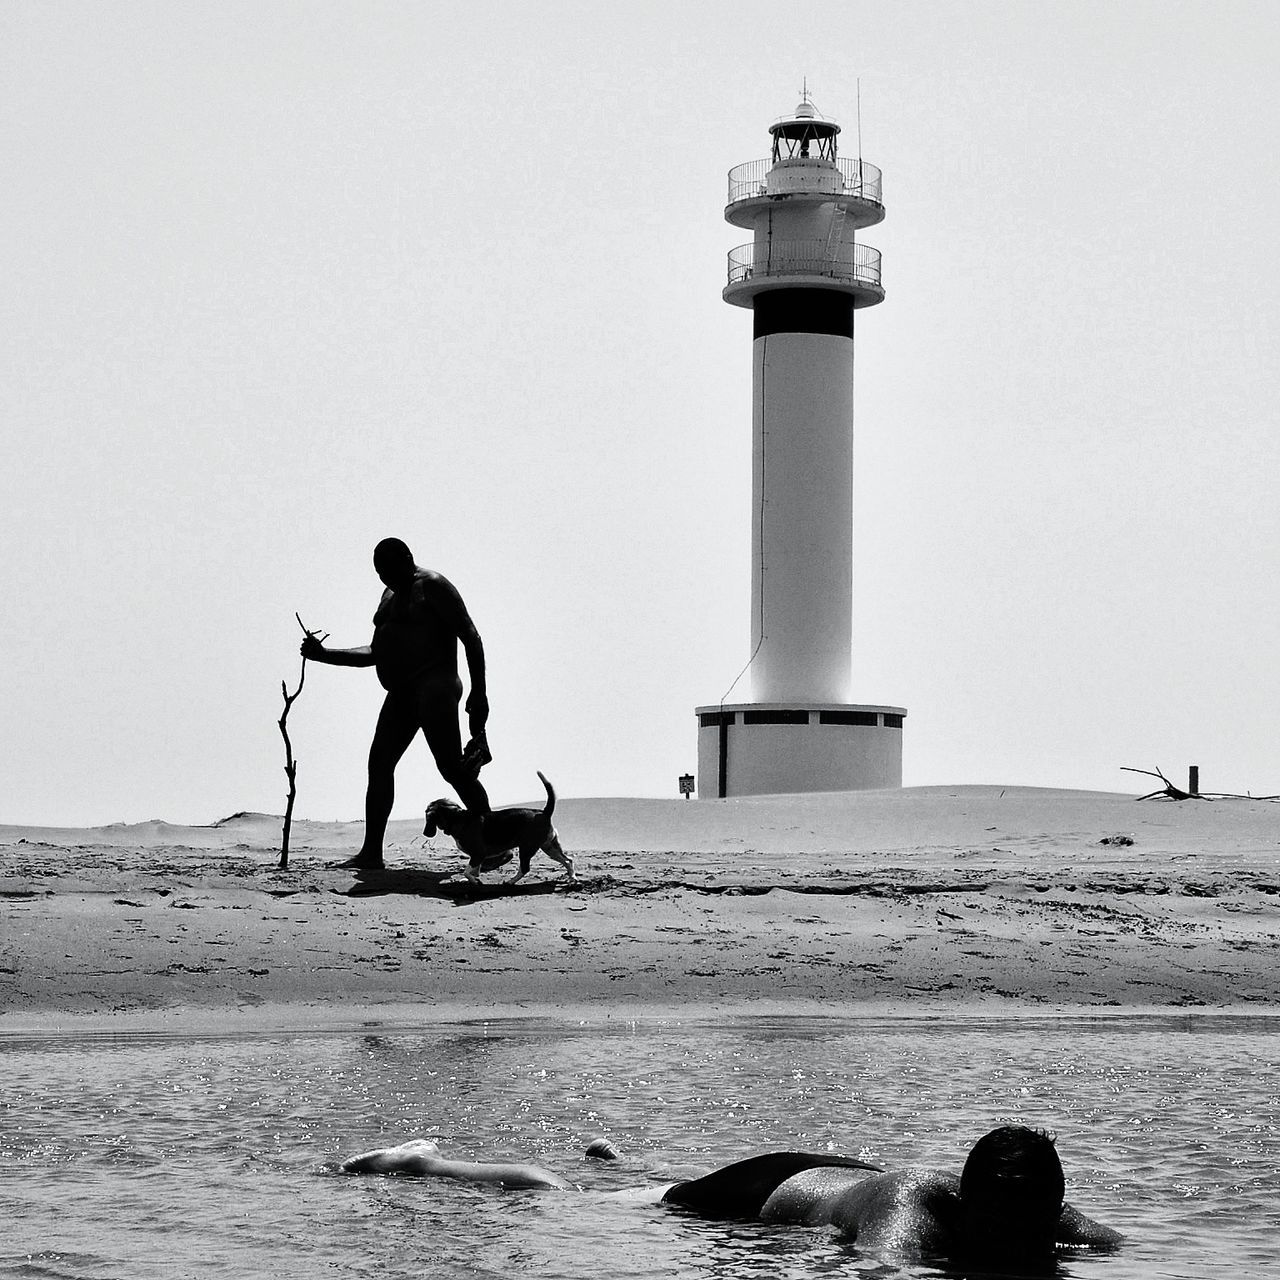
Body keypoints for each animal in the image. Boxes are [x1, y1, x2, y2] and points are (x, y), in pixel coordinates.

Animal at [424, 762, 576, 885]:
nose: (425, 833)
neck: (458, 818)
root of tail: (544, 812)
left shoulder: (478, 854)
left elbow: (467, 871)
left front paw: (473, 881)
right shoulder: (478, 857)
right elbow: (474, 871)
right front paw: (472, 880)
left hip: (527, 848)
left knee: (525, 868)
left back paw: (510, 882)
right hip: (549, 847)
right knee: (568, 860)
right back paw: (572, 878)